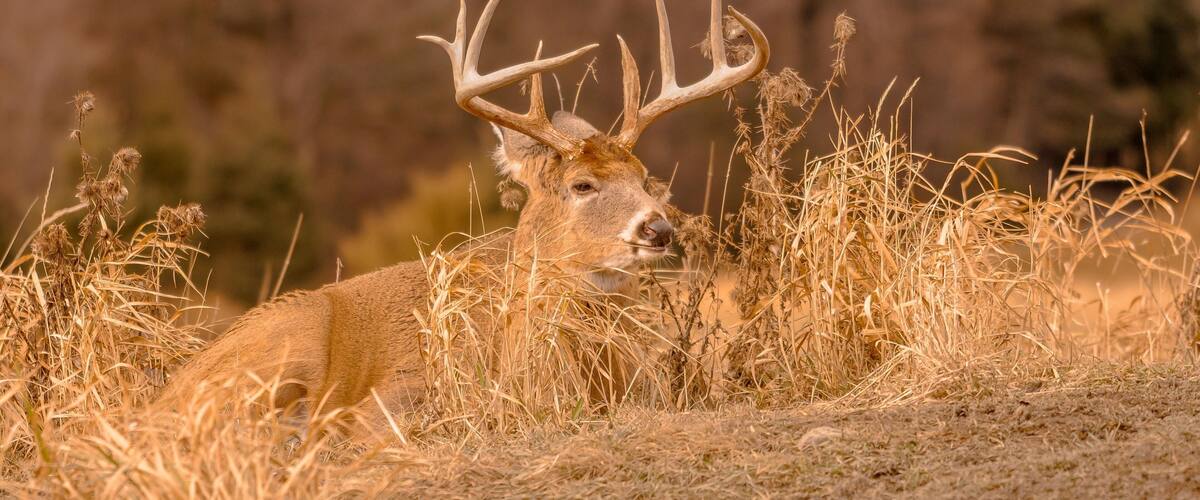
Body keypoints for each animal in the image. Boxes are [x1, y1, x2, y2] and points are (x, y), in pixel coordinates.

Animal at [157, 0, 769, 429]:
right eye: (583, 184)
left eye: (645, 180)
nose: (658, 228)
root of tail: (161, 394)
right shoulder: (393, 400)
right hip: (293, 340)